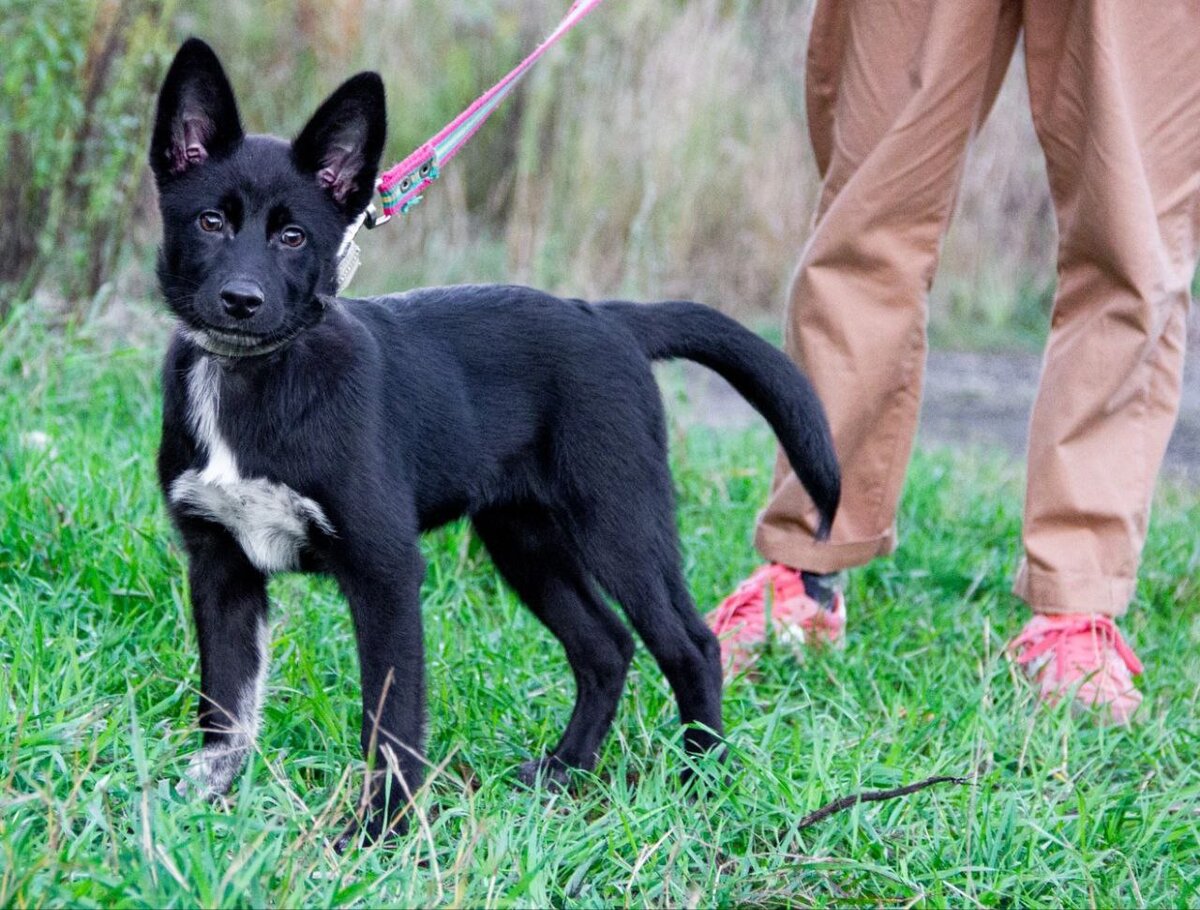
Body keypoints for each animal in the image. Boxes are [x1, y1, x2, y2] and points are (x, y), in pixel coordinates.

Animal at [150, 39, 840, 845]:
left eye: (293, 238)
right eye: (210, 222)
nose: (241, 301)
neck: (253, 375)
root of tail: (608, 317)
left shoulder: (385, 571)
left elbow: (390, 720)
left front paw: (379, 833)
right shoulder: (219, 568)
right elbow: (225, 711)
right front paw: (200, 812)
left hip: (620, 519)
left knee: (690, 645)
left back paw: (703, 784)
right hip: (524, 537)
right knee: (606, 647)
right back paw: (566, 772)